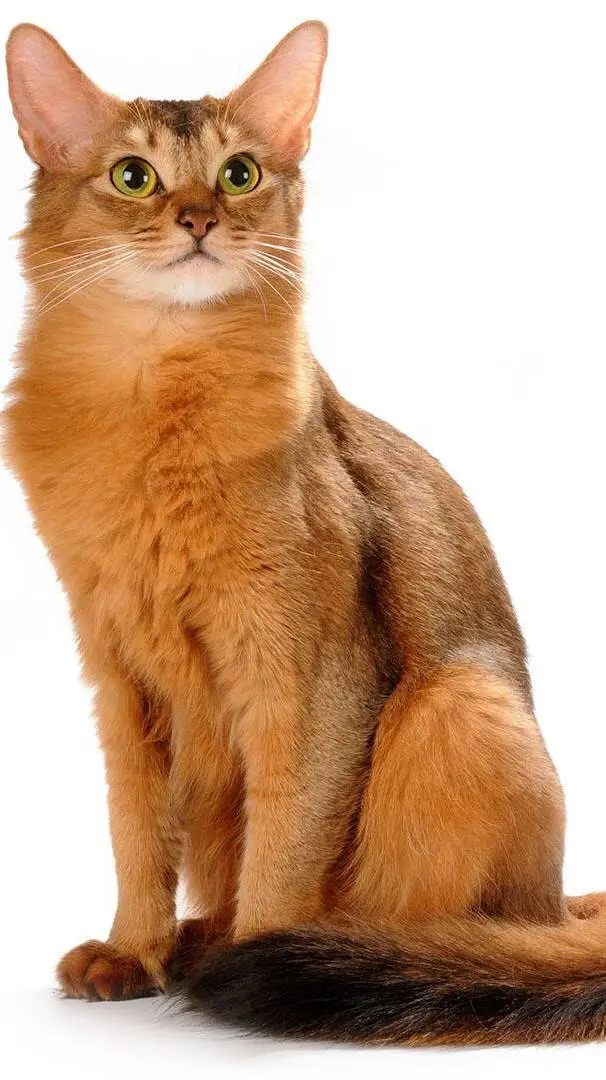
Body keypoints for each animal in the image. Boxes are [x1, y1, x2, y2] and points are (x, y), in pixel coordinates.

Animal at [4, 20, 606, 1047]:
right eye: (134, 177)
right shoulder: (117, 673)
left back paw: (329, 961)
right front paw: (132, 949)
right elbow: (134, 832)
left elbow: (288, 840)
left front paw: (259, 954)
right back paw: (193, 941)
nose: (199, 218)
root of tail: (556, 902)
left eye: (240, 173)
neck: (152, 409)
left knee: (439, 921)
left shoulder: (310, 670)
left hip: (457, 704)